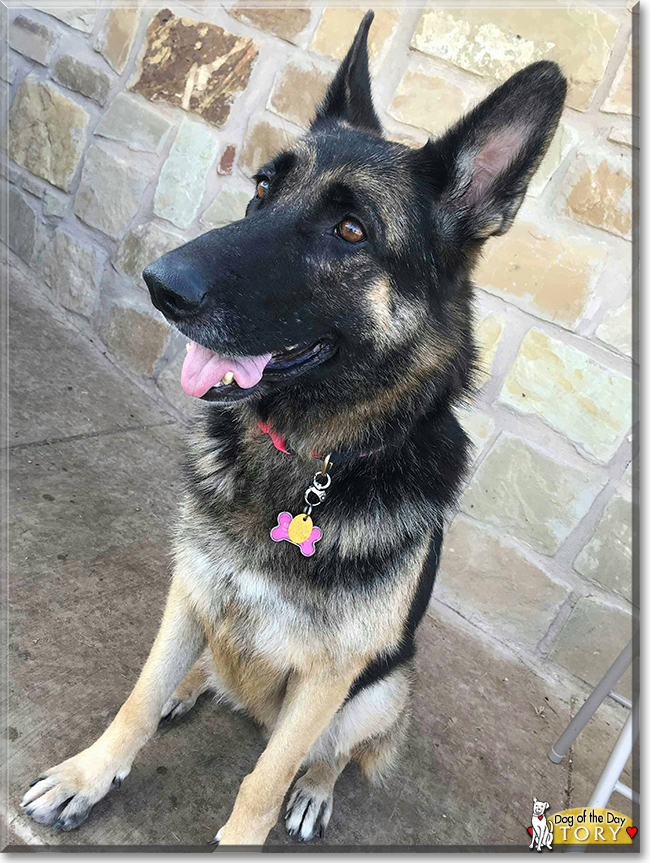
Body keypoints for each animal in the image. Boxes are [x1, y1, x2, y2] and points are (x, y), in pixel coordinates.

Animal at [22, 11, 564, 852]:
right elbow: (137, 698)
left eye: (350, 229)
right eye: (261, 189)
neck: (309, 458)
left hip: (384, 686)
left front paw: (262, 815)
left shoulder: (330, 677)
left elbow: (265, 777)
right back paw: (193, 684)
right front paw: (90, 773)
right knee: (208, 675)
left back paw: (314, 787)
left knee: (336, 750)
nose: (159, 284)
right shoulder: (189, 590)